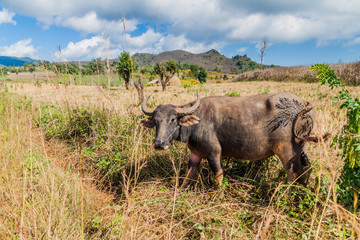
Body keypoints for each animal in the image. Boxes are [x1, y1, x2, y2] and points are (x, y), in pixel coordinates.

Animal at [139, 93, 328, 188]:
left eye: (173, 119)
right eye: (156, 121)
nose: (159, 144)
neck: (197, 121)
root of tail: (305, 105)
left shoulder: (214, 153)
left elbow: (218, 176)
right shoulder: (195, 154)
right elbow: (188, 175)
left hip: (287, 151)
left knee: (295, 174)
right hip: (302, 149)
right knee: (307, 170)